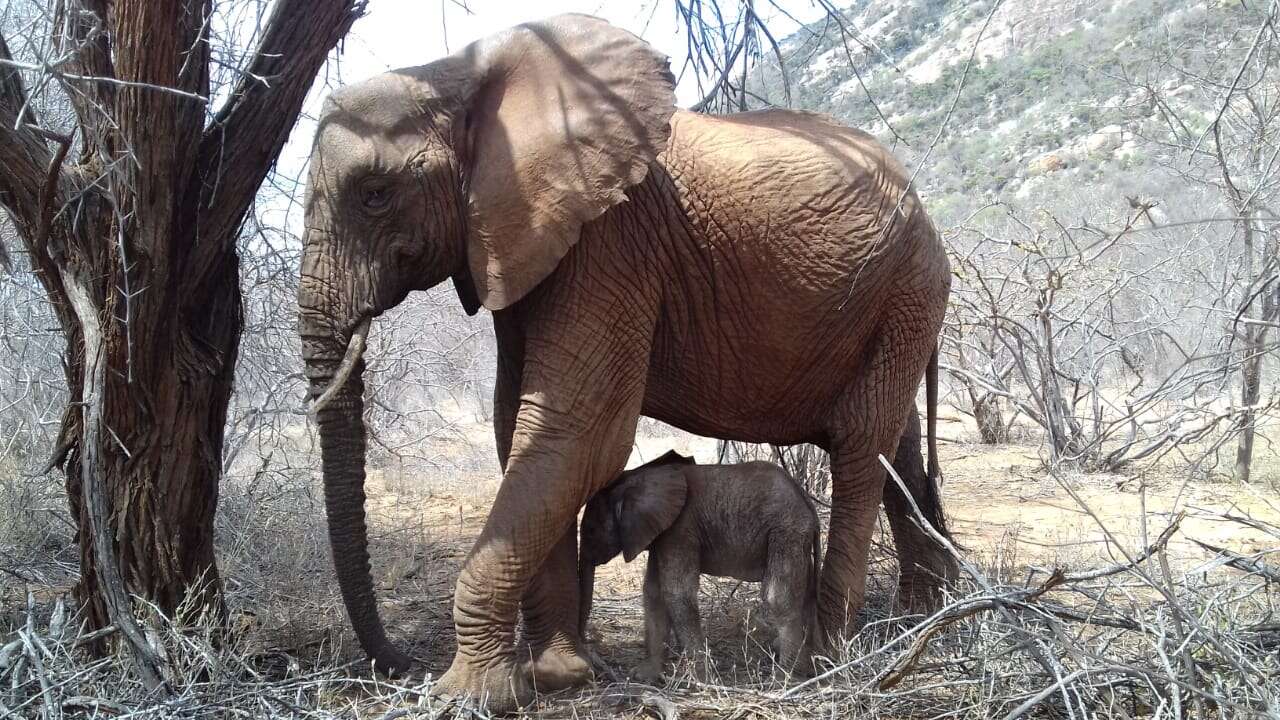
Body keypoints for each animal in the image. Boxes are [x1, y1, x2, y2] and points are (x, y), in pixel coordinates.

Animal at [578, 448, 819, 676]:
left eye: (590, 530)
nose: (589, 645)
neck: (636, 478)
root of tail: (808, 503)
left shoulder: (680, 529)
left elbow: (677, 592)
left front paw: (701, 679)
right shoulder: (662, 534)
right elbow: (654, 593)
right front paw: (644, 676)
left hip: (787, 530)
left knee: (779, 598)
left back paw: (787, 676)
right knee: (805, 595)